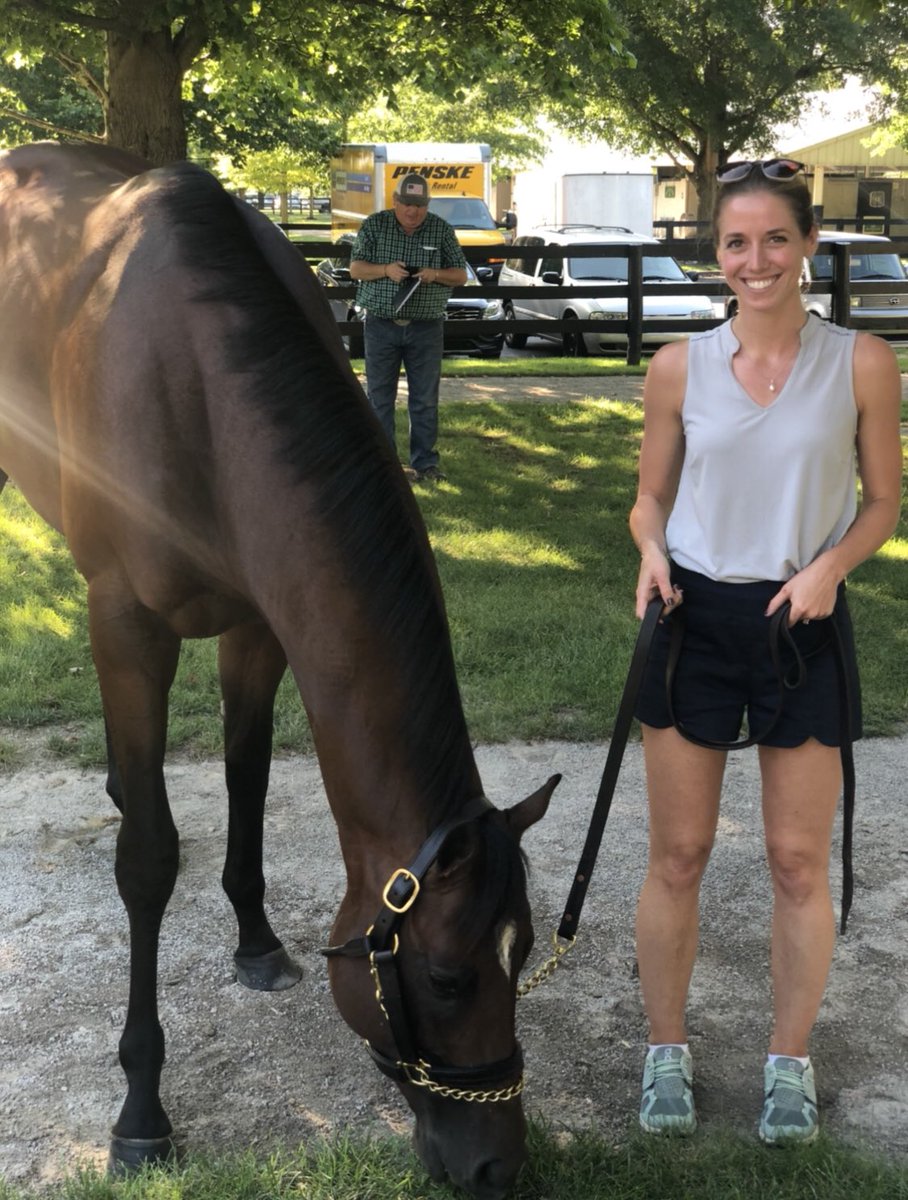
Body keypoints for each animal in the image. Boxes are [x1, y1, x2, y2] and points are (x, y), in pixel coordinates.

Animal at [0, 142, 559, 1200]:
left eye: (526, 954)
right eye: (448, 976)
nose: (497, 1165)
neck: (191, 377)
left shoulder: (260, 625)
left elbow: (248, 781)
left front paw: (257, 942)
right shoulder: (128, 625)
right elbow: (149, 862)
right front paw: (142, 1113)